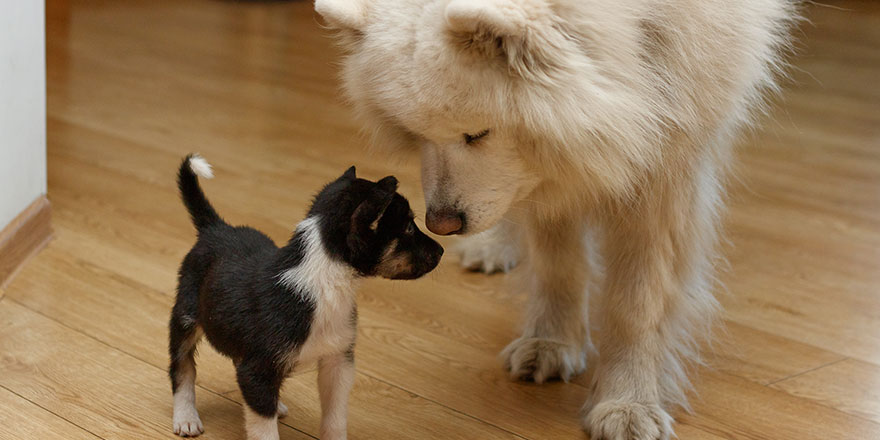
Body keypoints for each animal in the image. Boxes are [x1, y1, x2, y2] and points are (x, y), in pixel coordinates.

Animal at [168, 153, 444, 438]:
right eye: (409, 228)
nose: (442, 250)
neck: (325, 282)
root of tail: (215, 228)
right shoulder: (258, 370)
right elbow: (264, 429)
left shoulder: (338, 361)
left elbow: (335, 416)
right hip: (185, 318)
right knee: (182, 368)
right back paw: (186, 418)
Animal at [314, 1, 792, 438]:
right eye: (415, 135)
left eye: (477, 134)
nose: (440, 224)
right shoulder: (550, 171)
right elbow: (558, 265)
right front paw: (551, 343)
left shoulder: (667, 163)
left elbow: (637, 303)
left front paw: (628, 402)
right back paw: (493, 248)